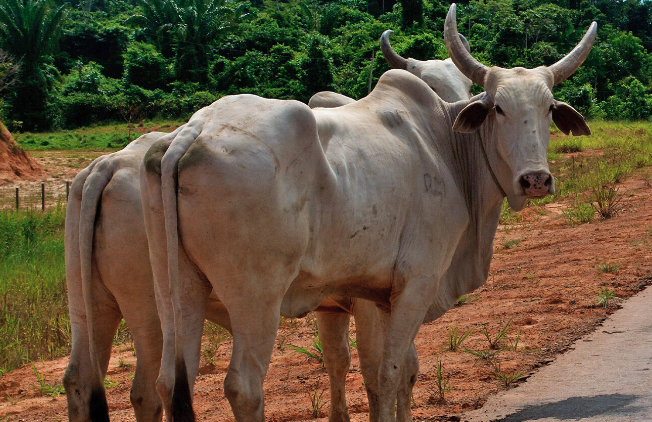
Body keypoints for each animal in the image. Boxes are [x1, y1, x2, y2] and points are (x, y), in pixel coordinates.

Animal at [142, 4, 595, 422]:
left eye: (549, 108)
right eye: (498, 107)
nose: (535, 179)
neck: (447, 147)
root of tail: (194, 129)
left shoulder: (378, 295)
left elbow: (400, 370)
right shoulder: (417, 282)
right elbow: (387, 372)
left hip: (176, 290)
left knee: (169, 381)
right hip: (256, 296)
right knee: (244, 387)